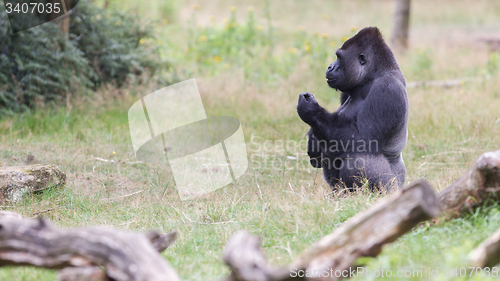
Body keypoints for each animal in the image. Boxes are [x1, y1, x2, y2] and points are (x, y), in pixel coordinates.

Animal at [296, 26, 406, 190]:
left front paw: (312, 111)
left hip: (392, 185)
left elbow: (363, 141)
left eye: (339, 57)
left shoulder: (386, 88)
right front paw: (313, 141)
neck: (370, 79)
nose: (330, 66)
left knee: (359, 158)